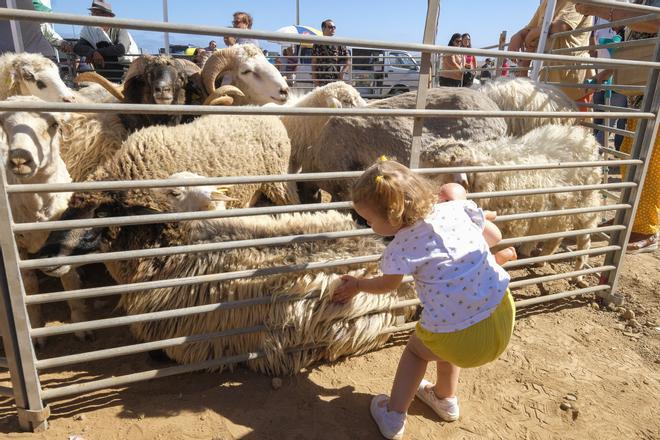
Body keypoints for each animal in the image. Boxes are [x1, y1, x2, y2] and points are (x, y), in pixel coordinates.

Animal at [0, 98, 90, 346]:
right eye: (5, 125)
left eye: (53, 124)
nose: (19, 159)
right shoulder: (19, 247)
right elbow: (29, 286)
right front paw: (36, 328)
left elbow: (69, 280)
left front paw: (80, 323)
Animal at [33, 186, 416, 374]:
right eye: (67, 209)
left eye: (101, 212)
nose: (46, 257)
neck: (171, 248)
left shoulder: (181, 341)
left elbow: (158, 355)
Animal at [418, 123, 604, 286]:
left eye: (434, 175)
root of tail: (586, 136)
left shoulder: (508, 227)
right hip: (558, 209)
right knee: (556, 234)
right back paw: (540, 258)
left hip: (586, 206)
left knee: (584, 240)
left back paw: (577, 275)